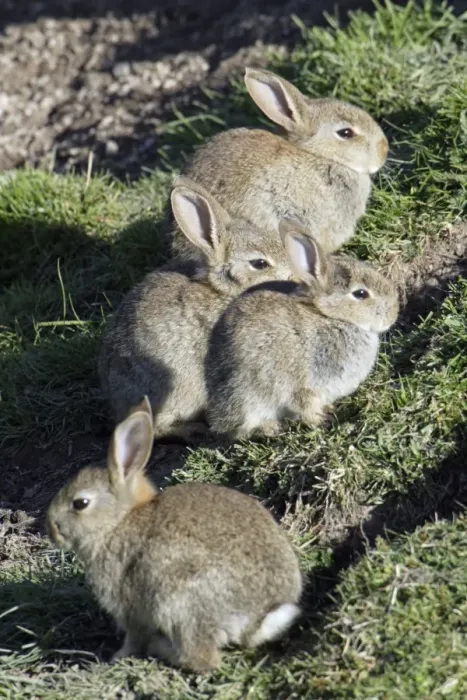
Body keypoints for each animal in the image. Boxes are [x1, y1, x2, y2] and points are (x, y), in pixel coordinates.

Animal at [46, 398, 303, 673]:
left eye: (80, 503)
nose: (51, 529)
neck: (118, 521)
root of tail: (258, 617)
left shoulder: (129, 607)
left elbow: (134, 637)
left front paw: (117, 656)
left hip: (179, 602)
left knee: (201, 658)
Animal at [206, 221, 399, 440]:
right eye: (360, 294)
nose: (393, 313)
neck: (330, 317)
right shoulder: (302, 385)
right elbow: (305, 406)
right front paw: (321, 422)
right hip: (248, 396)